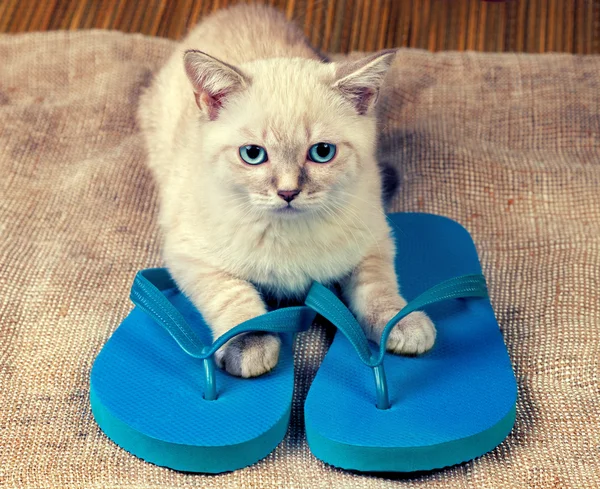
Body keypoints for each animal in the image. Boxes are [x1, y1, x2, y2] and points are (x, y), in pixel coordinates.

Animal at [138, 4, 434, 378]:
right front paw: (248, 343)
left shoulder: (374, 238)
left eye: (322, 152)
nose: (288, 192)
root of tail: (239, 9)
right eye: (253, 154)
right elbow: (233, 296)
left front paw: (401, 322)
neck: (289, 235)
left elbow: (377, 286)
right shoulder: (188, 255)